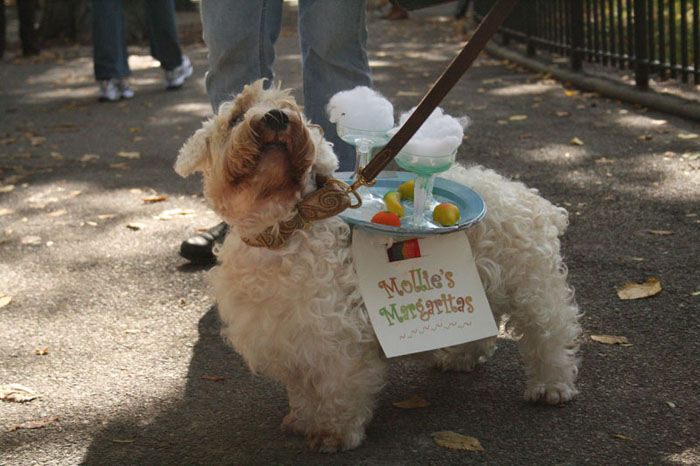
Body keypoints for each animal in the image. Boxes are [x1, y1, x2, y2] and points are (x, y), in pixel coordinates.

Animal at [178, 79, 584, 452]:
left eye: (290, 105)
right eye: (236, 116)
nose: (277, 117)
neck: (284, 231)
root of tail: (533, 200)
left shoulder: (338, 342)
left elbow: (339, 390)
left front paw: (334, 434)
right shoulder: (290, 341)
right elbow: (304, 391)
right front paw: (302, 420)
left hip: (534, 290)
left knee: (552, 336)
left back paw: (551, 387)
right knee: (483, 331)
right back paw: (459, 358)